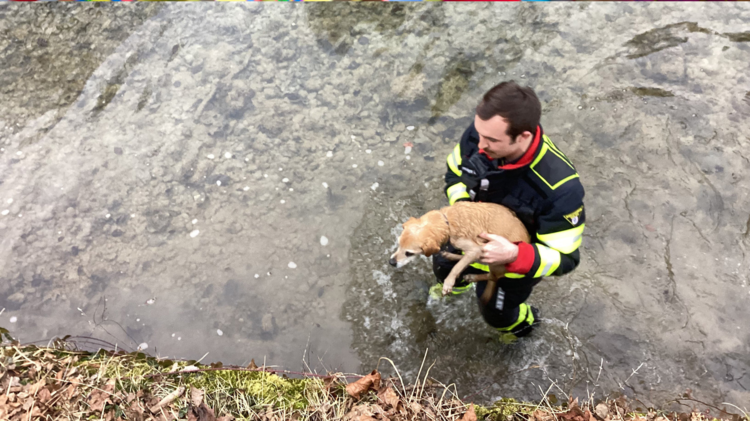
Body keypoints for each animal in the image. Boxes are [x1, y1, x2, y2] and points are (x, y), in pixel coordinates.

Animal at [390, 202, 532, 304]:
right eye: (398, 244)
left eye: (409, 253)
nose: (391, 262)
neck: (447, 222)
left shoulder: (476, 249)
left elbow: (456, 268)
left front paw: (448, 283)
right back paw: (452, 256)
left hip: (494, 258)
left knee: (492, 276)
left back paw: (472, 276)